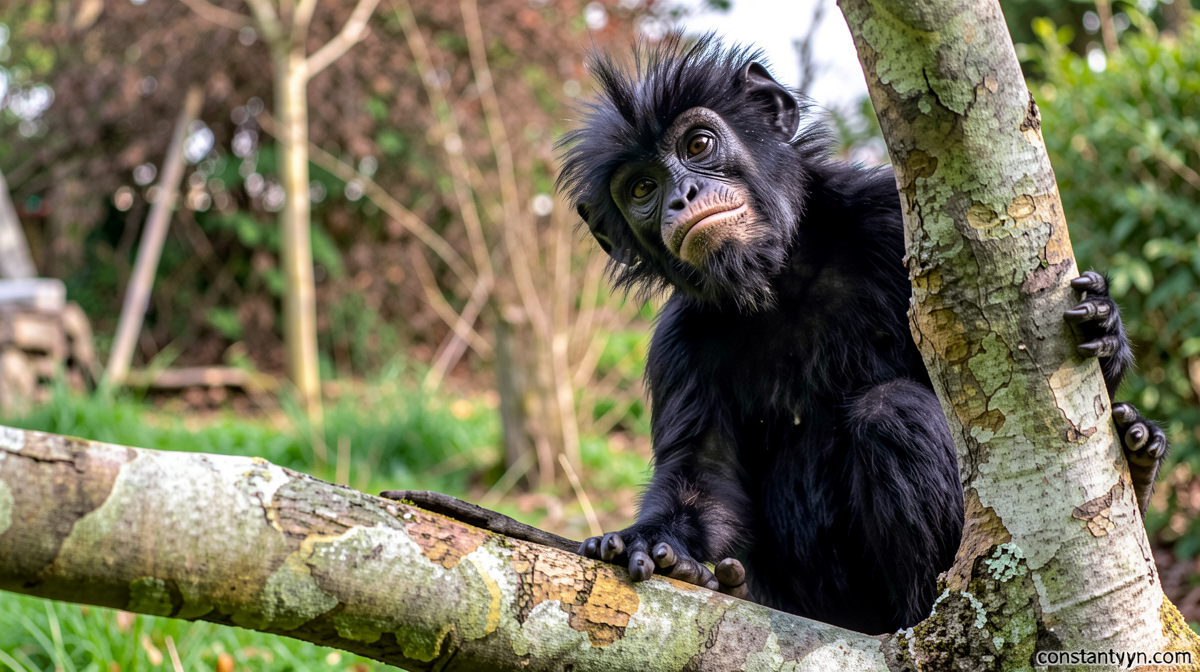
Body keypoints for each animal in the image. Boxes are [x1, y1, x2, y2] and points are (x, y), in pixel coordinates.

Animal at [549, 35, 1168, 634]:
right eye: (641, 189)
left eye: (698, 145)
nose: (682, 195)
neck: (786, 274)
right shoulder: (678, 347)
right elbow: (705, 476)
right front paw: (655, 543)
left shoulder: (892, 220)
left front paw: (1103, 325)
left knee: (891, 413)